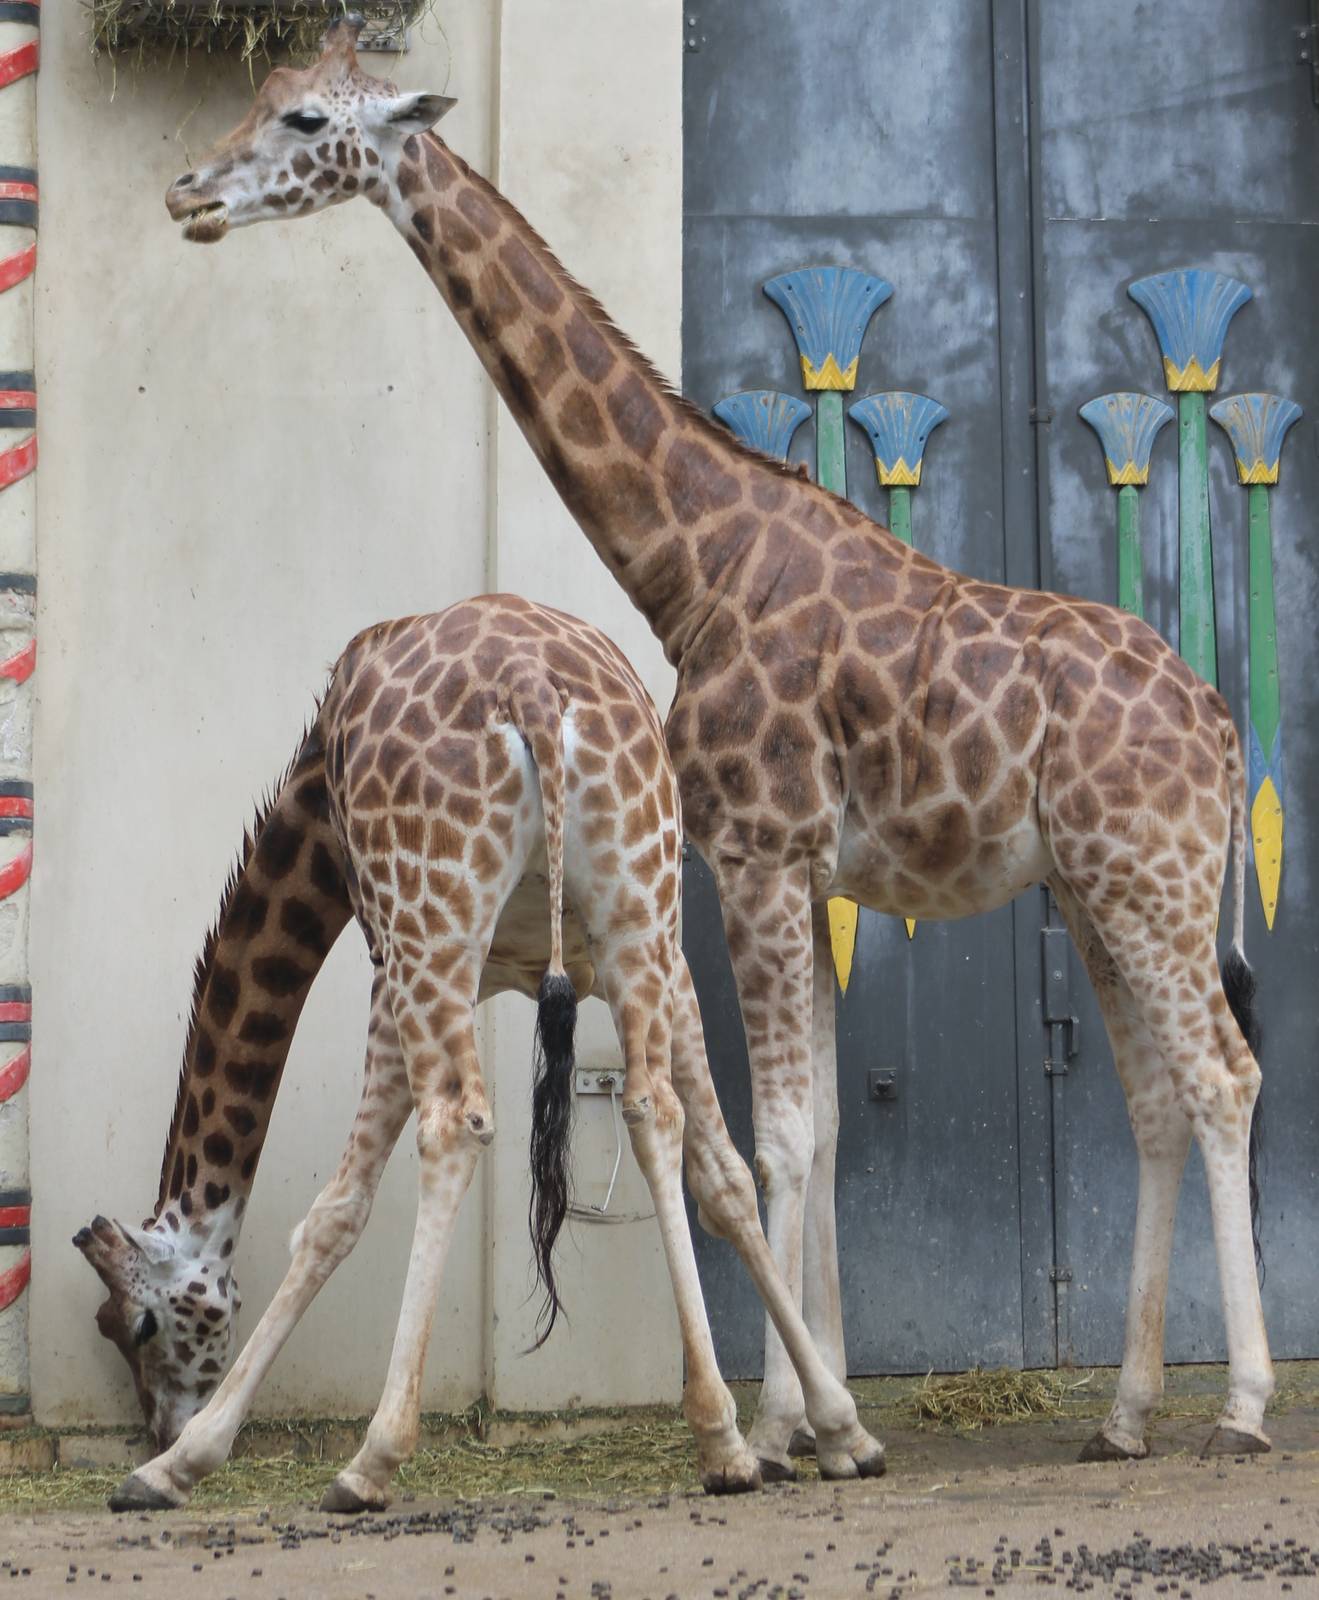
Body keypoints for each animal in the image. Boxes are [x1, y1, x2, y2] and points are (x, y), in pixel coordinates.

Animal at [79, 595, 883, 1513]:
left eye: (138, 1325)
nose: (158, 1427)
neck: (313, 807)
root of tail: (532, 689)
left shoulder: (388, 958)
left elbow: (335, 1212)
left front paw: (180, 1463)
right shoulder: (652, 962)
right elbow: (719, 1173)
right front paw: (830, 1429)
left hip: (433, 923)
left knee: (454, 1126)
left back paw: (370, 1459)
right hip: (635, 902)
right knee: (652, 1109)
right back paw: (718, 1441)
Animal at [163, 20, 1273, 1470]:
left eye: (302, 121)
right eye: (258, 98)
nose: (186, 194)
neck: (695, 565)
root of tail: (1220, 727)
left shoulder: (751, 850)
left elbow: (782, 1135)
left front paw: (790, 1420)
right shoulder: (801, 872)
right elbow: (820, 1138)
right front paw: (820, 1410)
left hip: (1151, 880)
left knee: (1222, 1077)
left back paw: (1242, 1404)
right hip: (1099, 890)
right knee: (1153, 1097)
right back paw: (1126, 1412)